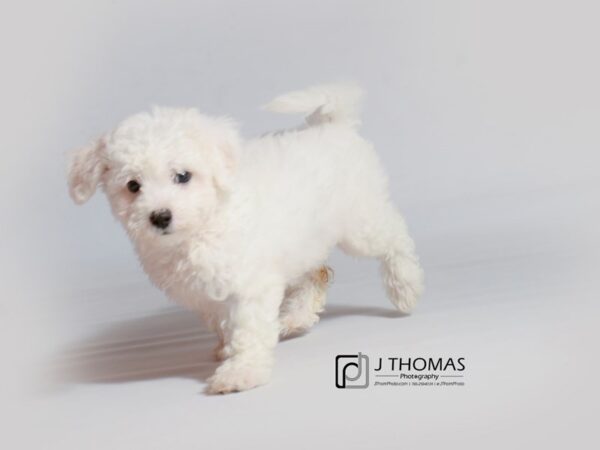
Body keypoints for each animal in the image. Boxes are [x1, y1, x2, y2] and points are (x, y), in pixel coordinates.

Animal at [68, 82, 424, 392]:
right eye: (132, 186)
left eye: (182, 176)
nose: (160, 216)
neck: (202, 227)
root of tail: (335, 126)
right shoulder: (208, 296)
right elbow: (226, 325)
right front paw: (228, 351)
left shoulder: (250, 286)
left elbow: (247, 329)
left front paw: (242, 371)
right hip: (303, 243)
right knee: (316, 274)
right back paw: (295, 317)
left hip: (359, 223)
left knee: (395, 238)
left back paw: (405, 287)